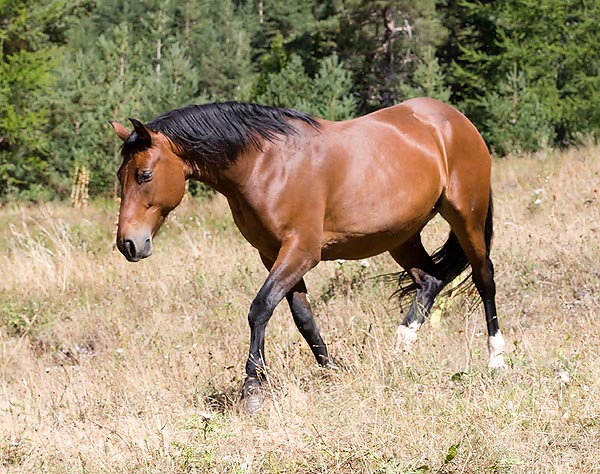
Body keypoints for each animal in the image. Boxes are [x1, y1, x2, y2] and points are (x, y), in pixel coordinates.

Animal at [111, 98, 506, 412]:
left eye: (144, 175)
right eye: (120, 176)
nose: (128, 243)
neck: (266, 163)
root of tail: (454, 119)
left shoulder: (301, 250)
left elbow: (260, 308)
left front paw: (252, 389)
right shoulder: (273, 254)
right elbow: (303, 319)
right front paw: (333, 373)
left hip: (467, 216)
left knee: (484, 278)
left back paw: (496, 359)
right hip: (402, 235)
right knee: (430, 281)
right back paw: (401, 347)